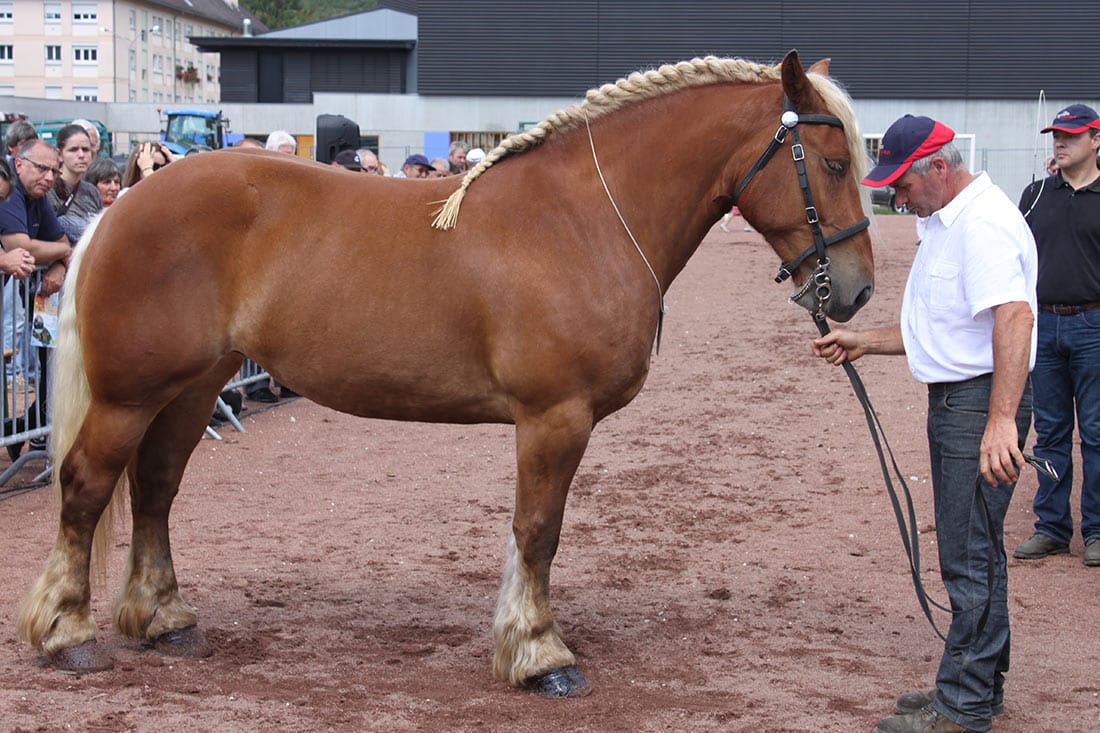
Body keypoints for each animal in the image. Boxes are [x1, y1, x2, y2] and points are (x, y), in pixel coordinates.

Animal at [19, 52, 875, 695]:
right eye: (834, 163)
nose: (859, 290)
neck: (586, 217)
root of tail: (123, 202)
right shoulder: (555, 416)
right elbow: (537, 531)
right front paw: (540, 655)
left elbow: (531, 533)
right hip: (131, 394)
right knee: (87, 489)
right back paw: (67, 633)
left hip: (194, 388)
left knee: (156, 490)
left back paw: (166, 621)